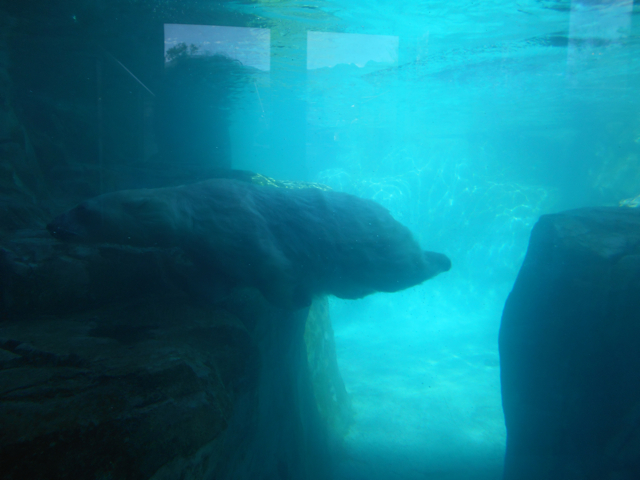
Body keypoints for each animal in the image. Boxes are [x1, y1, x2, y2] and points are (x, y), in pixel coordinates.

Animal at [47, 178, 451, 309]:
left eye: (83, 208)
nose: (52, 224)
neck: (195, 211)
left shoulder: (235, 224)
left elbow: (272, 267)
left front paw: (295, 299)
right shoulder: (210, 247)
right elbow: (213, 281)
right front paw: (180, 276)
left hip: (371, 245)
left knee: (399, 269)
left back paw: (440, 258)